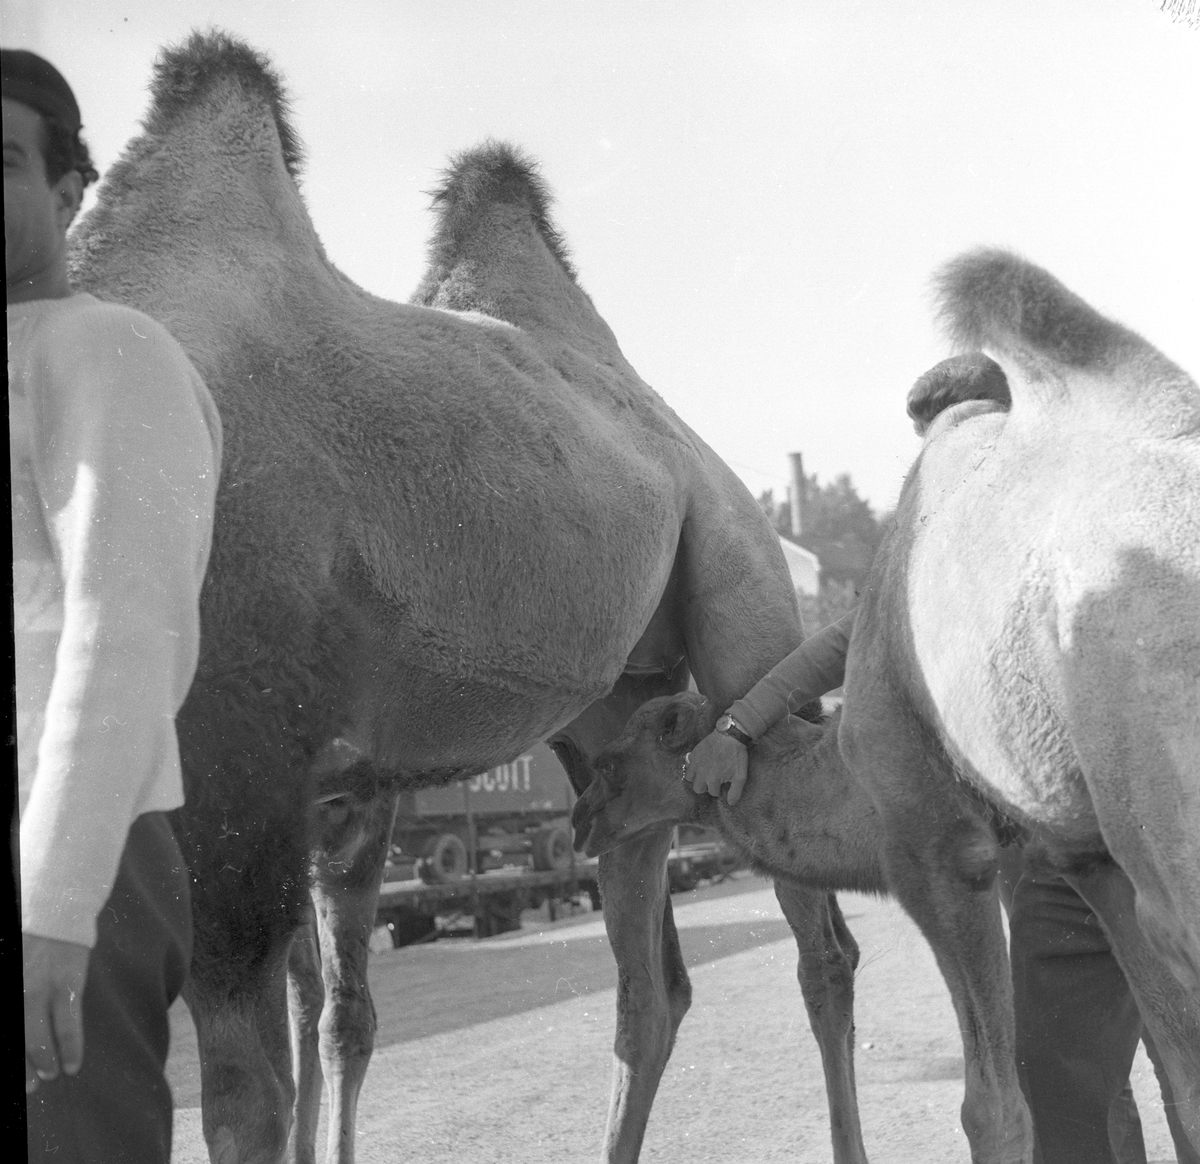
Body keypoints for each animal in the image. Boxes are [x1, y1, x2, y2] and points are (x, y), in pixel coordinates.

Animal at [68, 31, 864, 1161]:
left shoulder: (238, 768)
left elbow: (250, 1086)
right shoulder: (314, 787)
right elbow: (322, 1021)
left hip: (743, 598)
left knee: (819, 942)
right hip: (615, 736)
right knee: (649, 981)